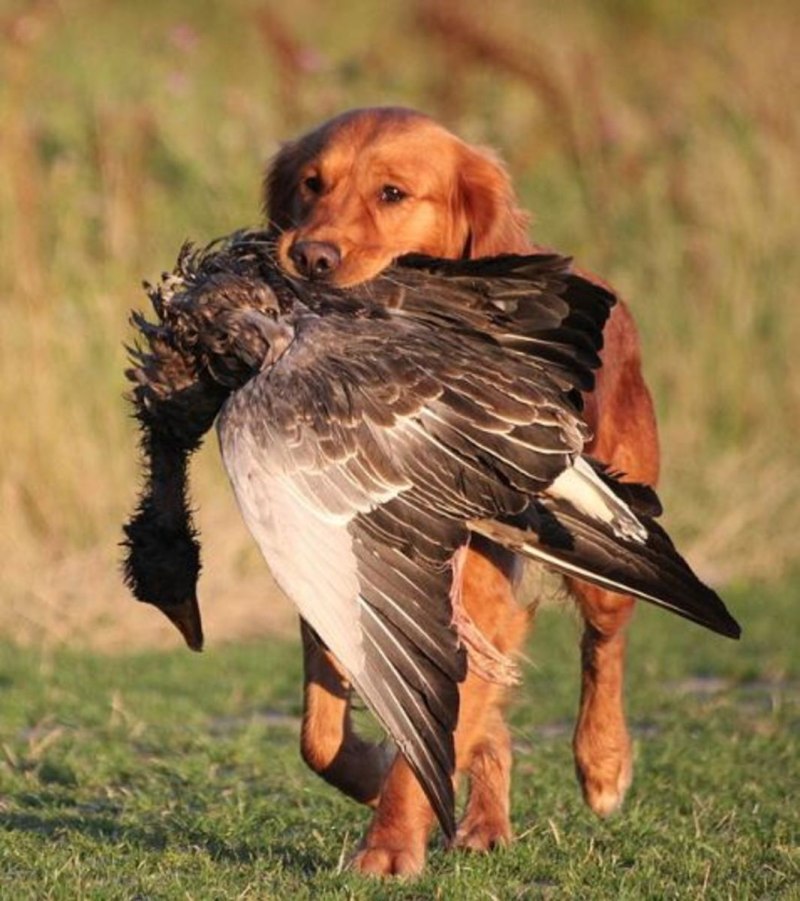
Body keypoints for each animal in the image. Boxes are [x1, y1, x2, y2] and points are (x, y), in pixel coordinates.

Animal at [266, 105, 660, 872]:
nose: (309, 256)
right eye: (310, 184)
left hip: (604, 551)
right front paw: (369, 773)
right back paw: (485, 820)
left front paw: (389, 845)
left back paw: (602, 764)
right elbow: (320, 734)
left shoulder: (474, 590)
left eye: (393, 194)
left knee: (605, 644)